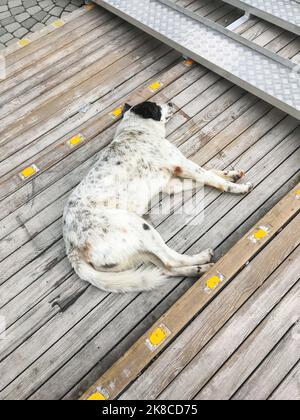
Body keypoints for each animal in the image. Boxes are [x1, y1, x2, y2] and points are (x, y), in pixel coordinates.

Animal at [63, 101, 251, 292]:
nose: (171, 102)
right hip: (139, 226)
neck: (137, 130)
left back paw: (198, 269)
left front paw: (231, 174)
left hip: (137, 250)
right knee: (171, 259)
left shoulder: (171, 185)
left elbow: (208, 175)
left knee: (167, 267)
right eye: (156, 105)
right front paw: (237, 187)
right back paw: (202, 258)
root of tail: (72, 248)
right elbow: (211, 178)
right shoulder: (182, 164)